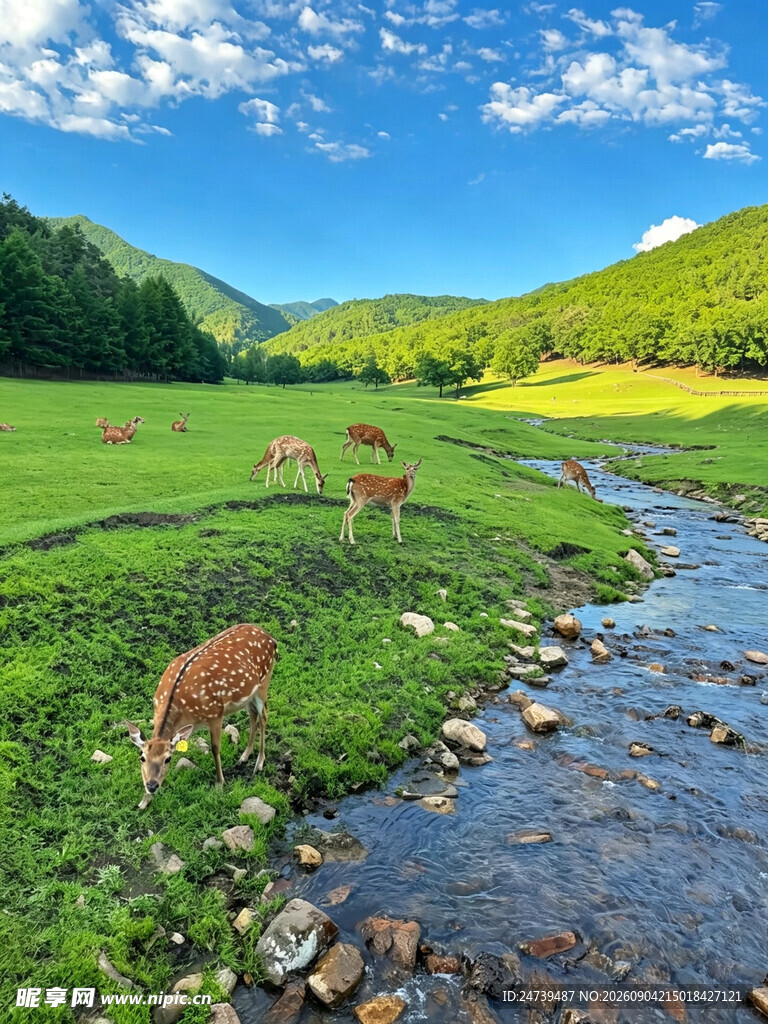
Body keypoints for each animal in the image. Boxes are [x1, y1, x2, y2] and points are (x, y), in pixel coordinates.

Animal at [125, 623, 277, 810]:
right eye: (142, 757)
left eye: (168, 759)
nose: (152, 786)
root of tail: (272, 639)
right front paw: (144, 801)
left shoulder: (216, 713)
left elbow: (215, 748)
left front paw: (220, 783)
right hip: (249, 694)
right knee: (253, 717)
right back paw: (244, 756)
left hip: (264, 681)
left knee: (263, 717)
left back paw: (259, 763)